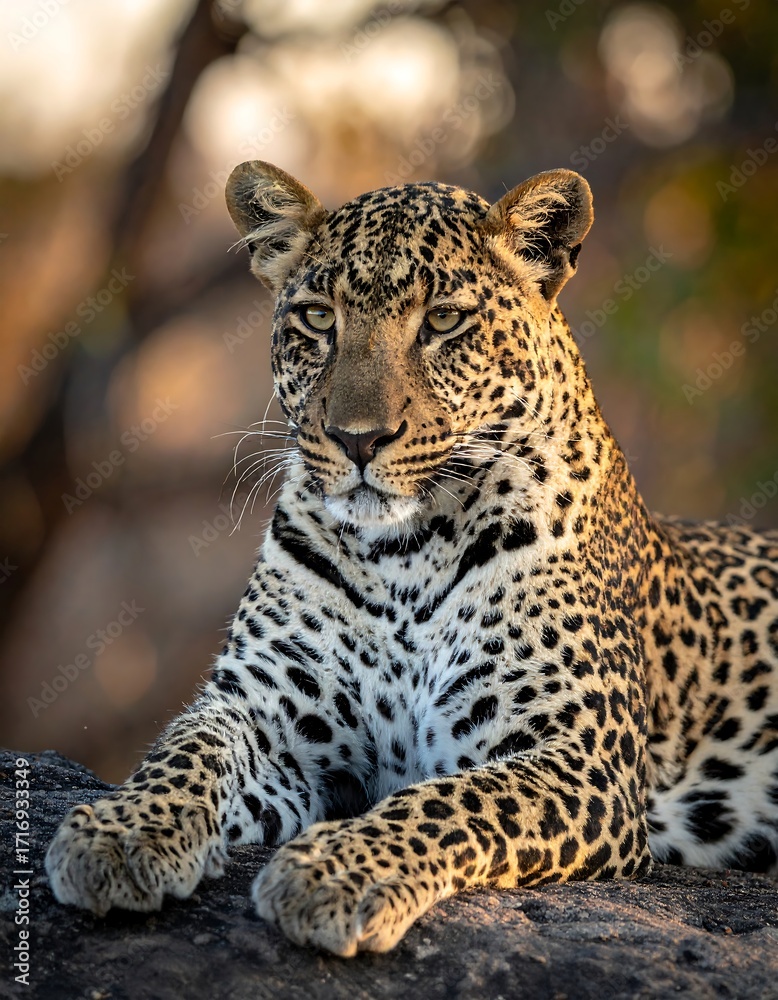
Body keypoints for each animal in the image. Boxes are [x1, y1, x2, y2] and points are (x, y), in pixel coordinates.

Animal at [46, 161, 778, 957]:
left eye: (444, 321)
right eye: (318, 319)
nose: (358, 439)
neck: (402, 553)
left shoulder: (580, 758)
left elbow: (454, 799)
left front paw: (333, 871)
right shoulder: (264, 710)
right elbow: (186, 748)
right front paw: (120, 833)